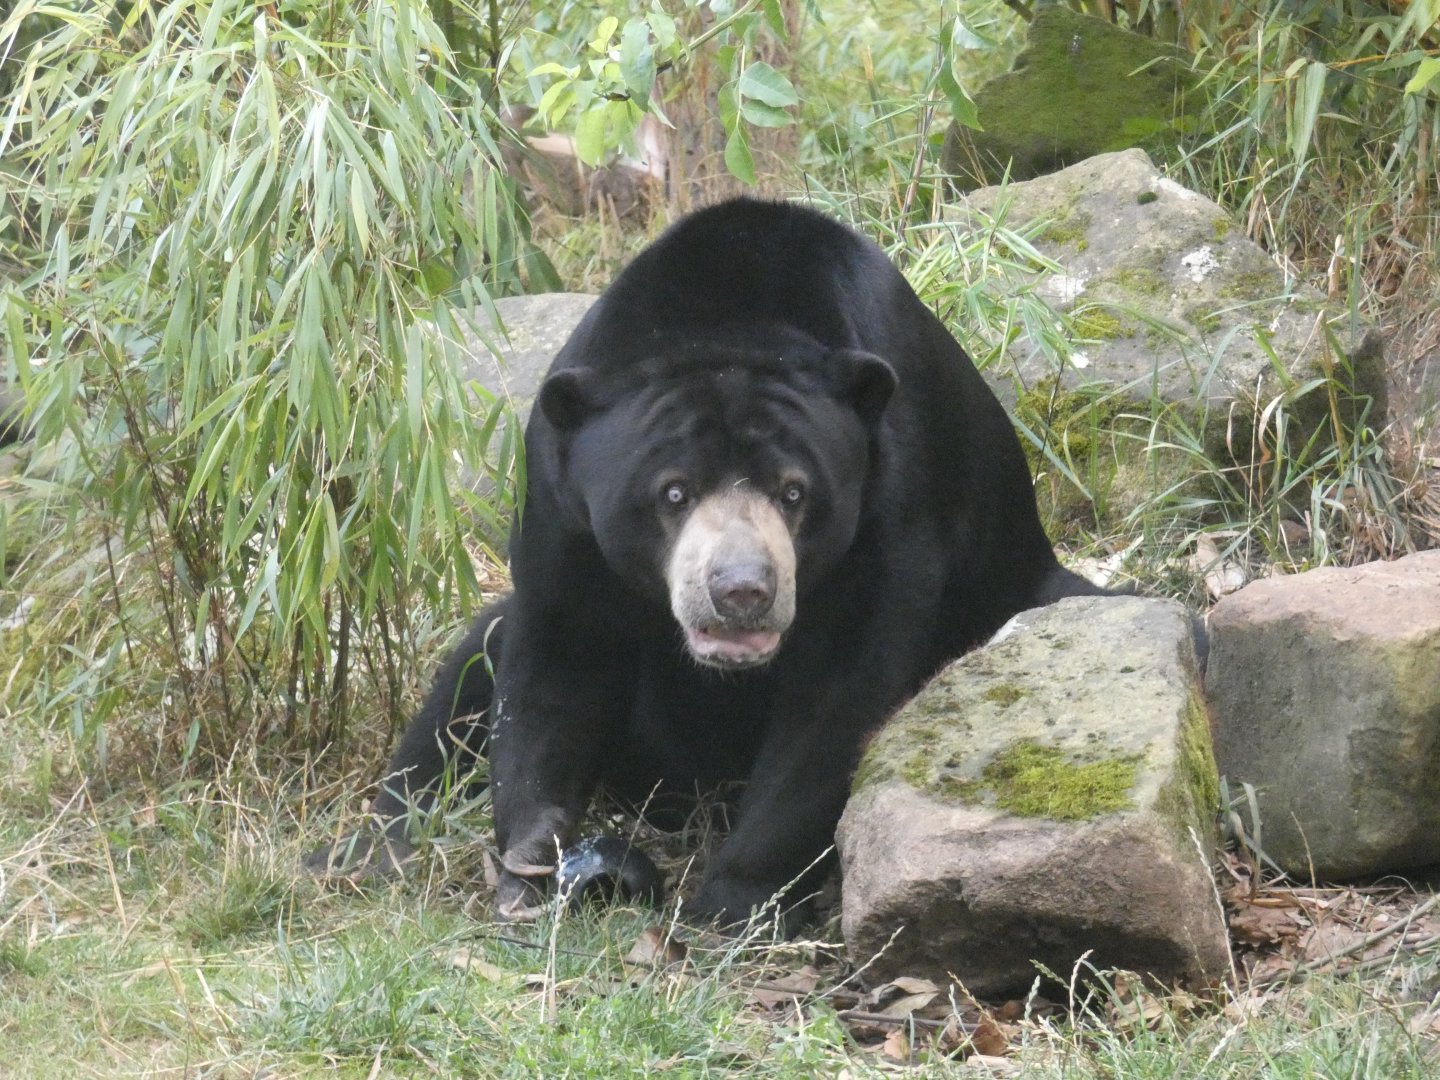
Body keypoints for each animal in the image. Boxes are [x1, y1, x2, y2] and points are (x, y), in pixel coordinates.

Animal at [310, 197, 1104, 923]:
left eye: (794, 491)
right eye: (672, 492)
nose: (741, 591)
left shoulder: (895, 506)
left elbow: (837, 699)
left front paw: (730, 903)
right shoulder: (562, 509)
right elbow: (552, 664)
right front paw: (534, 868)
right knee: (468, 674)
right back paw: (370, 850)